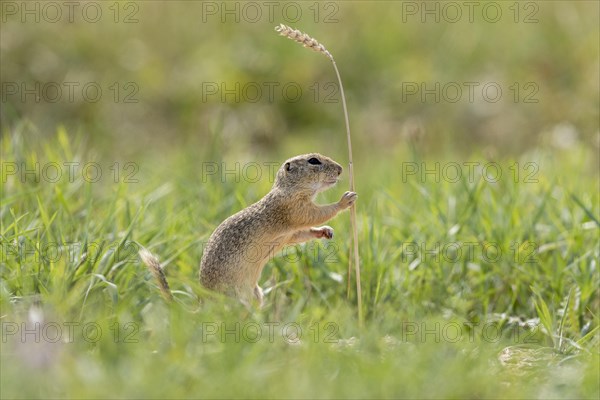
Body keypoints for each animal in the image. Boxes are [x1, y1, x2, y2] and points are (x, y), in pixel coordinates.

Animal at [141, 152, 356, 304]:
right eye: (313, 161)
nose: (340, 169)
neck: (289, 190)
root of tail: (202, 306)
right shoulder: (294, 209)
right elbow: (317, 214)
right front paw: (345, 201)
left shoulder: (290, 232)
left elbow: (301, 233)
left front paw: (325, 231)